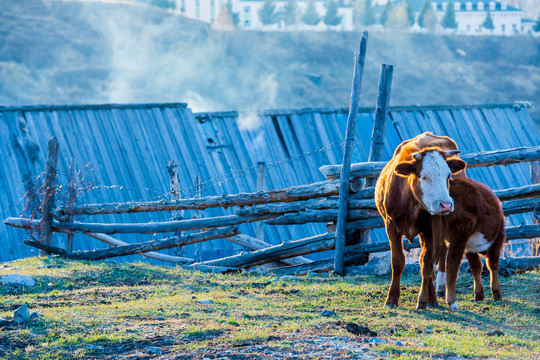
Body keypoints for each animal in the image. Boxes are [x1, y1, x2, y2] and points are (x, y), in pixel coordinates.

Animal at [374, 132, 466, 310]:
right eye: (424, 176)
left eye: (449, 176)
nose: (446, 204)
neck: (410, 201)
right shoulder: (390, 225)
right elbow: (397, 262)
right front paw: (391, 299)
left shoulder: (430, 228)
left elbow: (427, 261)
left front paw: (424, 300)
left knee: (436, 256)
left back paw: (435, 295)